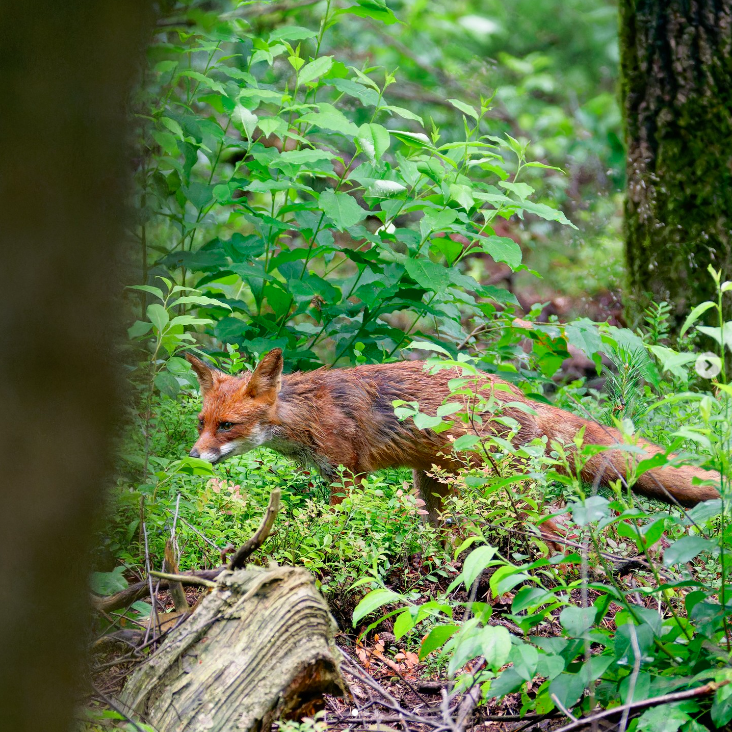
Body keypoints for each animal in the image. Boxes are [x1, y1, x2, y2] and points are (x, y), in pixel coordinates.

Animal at [184, 352, 720, 524]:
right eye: (202, 422)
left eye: (227, 426)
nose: (192, 457)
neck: (309, 414)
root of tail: (520, 395)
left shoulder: (349, 474)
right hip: (434, 486)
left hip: (503, 491)